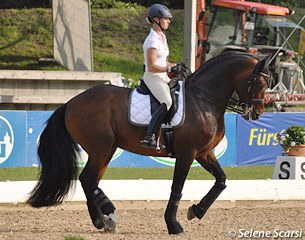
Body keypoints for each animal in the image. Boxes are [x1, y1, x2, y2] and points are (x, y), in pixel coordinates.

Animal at [26, 51, 268, 235]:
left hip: (106, 151)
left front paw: (196, 211)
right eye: (258, 82)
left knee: (90, 180)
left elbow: (221, 180)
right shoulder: (187, 153)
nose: (257, 113)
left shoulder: (204, 153)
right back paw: (108, 215)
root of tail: (71, 103)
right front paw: (173, 225)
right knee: (87, 179)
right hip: (99, 149)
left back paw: (103, 220)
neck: (203, 101)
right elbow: (177, 188)